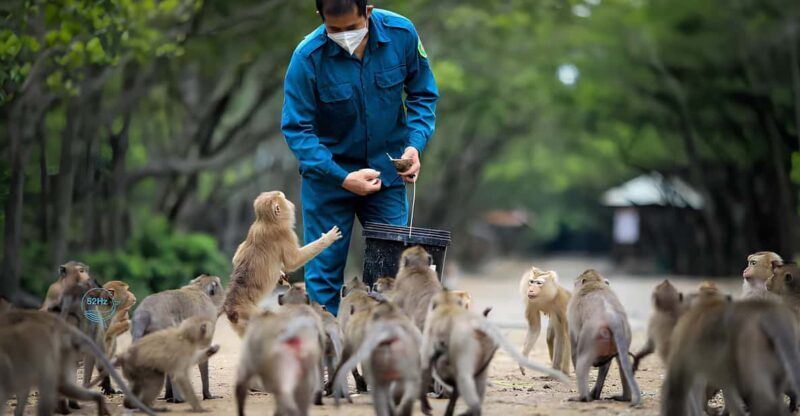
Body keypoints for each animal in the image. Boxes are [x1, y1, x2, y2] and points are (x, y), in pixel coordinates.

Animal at [132, 274, 224, 402]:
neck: (199, 287)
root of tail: (144, 312)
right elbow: (204, 351)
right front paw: (208, 395)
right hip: (163, 327)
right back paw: (179, 399)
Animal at [223, 191, 342, 336]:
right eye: (284, 199)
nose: (290, 203)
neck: (266, 222)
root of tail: (231, 308)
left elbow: (236, 259)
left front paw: (281, 275)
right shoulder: (285, 233)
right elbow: (293, 261)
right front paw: (328, 238)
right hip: (250, 315)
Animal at [567, 269, 641, 405]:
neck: (594, 283)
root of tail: (613, 318)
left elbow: (574, 351)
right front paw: (595, 393)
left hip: (591, 335)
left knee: (582, 361)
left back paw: (583, 397)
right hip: (623, 334)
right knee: (622, 361)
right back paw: (625, 397)